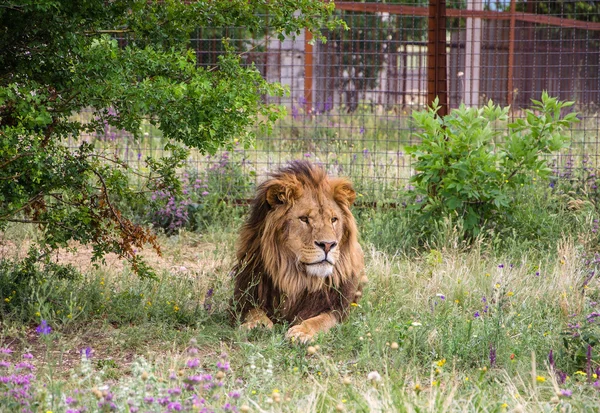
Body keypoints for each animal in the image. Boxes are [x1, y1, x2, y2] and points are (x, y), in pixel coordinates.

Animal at [232, 159, 366, 342]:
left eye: (333, 219)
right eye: (304, 219)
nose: (328, 245)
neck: (296, 277)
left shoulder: (336, 308)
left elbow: (319, 320)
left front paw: (302, 332)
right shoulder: (245, 298)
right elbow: (254, 312)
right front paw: (257, 325)